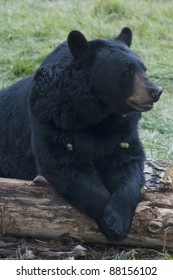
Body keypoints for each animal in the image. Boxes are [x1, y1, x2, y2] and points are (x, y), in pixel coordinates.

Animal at [0, 27, 162, 241]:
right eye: (126, 71)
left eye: (144, 69)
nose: (156, 91)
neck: (98, 114)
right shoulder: (51, 118)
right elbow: (66, 164)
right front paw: (110, 223)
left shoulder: (122, 129)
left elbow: (127, 163)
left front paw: (118, 218)